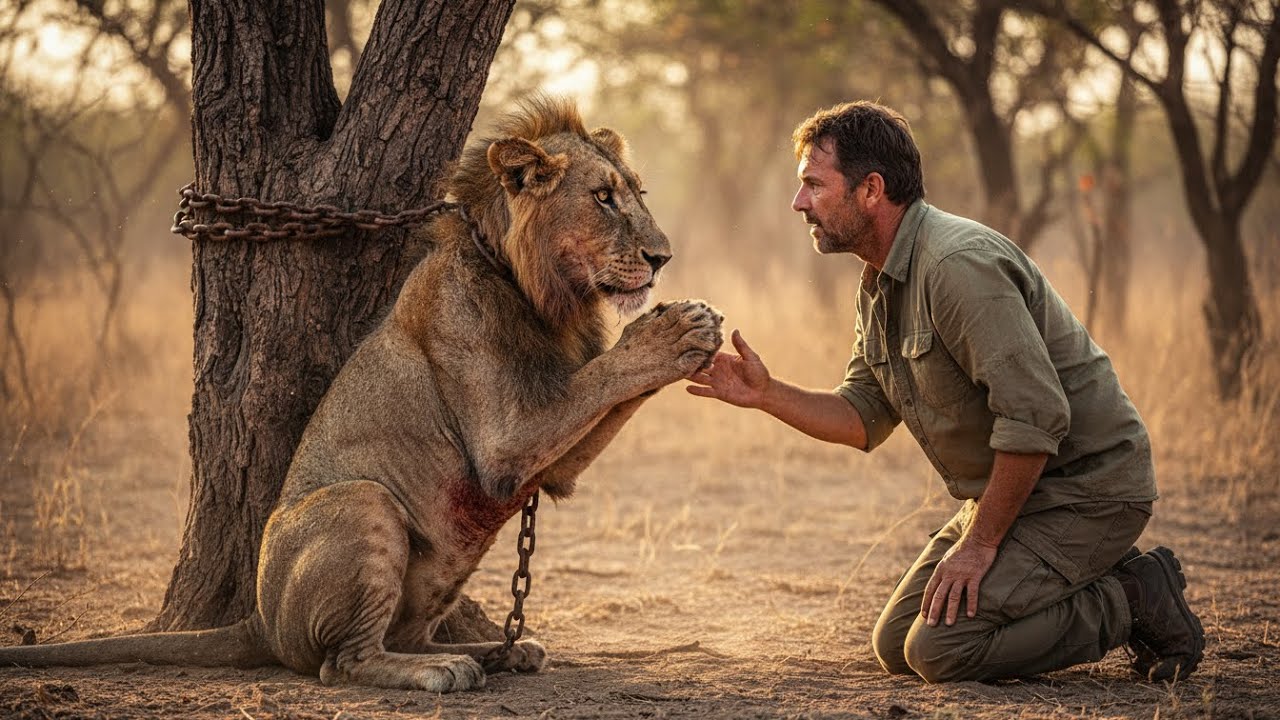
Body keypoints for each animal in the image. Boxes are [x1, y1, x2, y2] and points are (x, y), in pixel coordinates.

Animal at [0, 96, 723, 692]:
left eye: (637, 193)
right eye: (602, 197)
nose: (661, 257)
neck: (550, 299)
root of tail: (258, 617)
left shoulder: (552, 467)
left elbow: (606, 394)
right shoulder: (505, 444)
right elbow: (601, 375)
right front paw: (676, 330)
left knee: (403, 636)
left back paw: (501, 651)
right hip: (365, 502)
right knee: (342, 662)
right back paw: (446, 669)